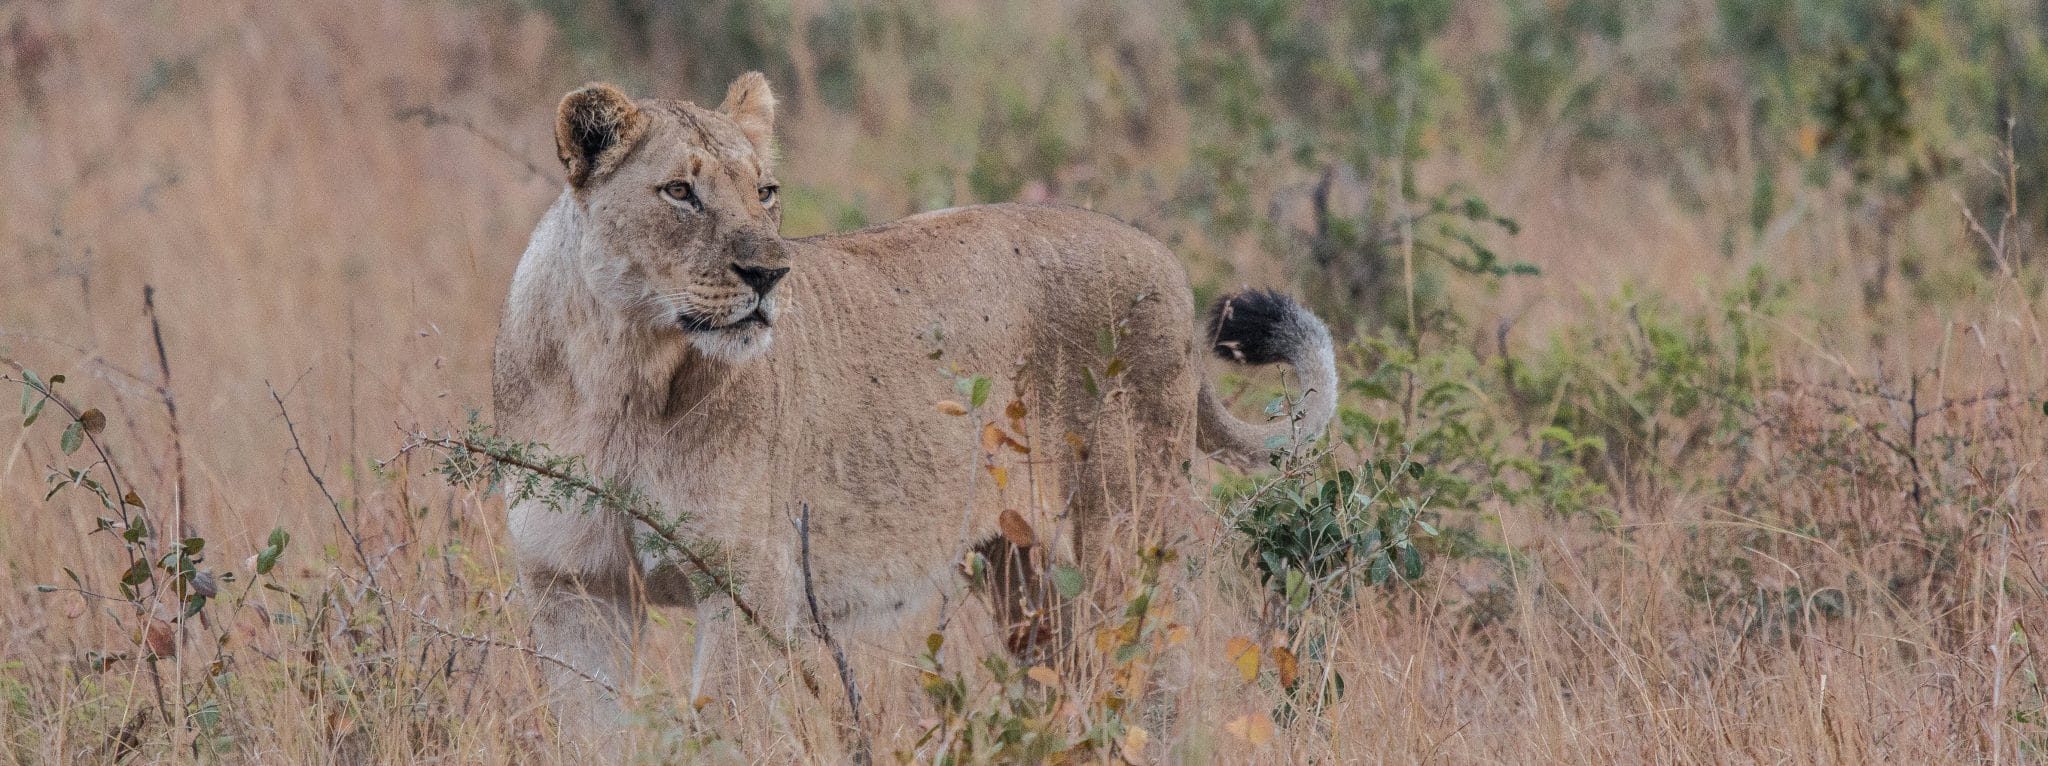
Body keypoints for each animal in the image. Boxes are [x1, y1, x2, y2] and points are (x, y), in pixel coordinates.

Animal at [492, 73, 1338, 740]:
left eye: (765, 192)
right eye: (679, 192)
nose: (769, 274)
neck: (622, 375)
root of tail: (1159, 251)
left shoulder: (747, 584)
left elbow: (725, 729)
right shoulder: (571, 588)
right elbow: (594, 734)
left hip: (1125, 529)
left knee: (1157, 675)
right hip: (1023, 569)